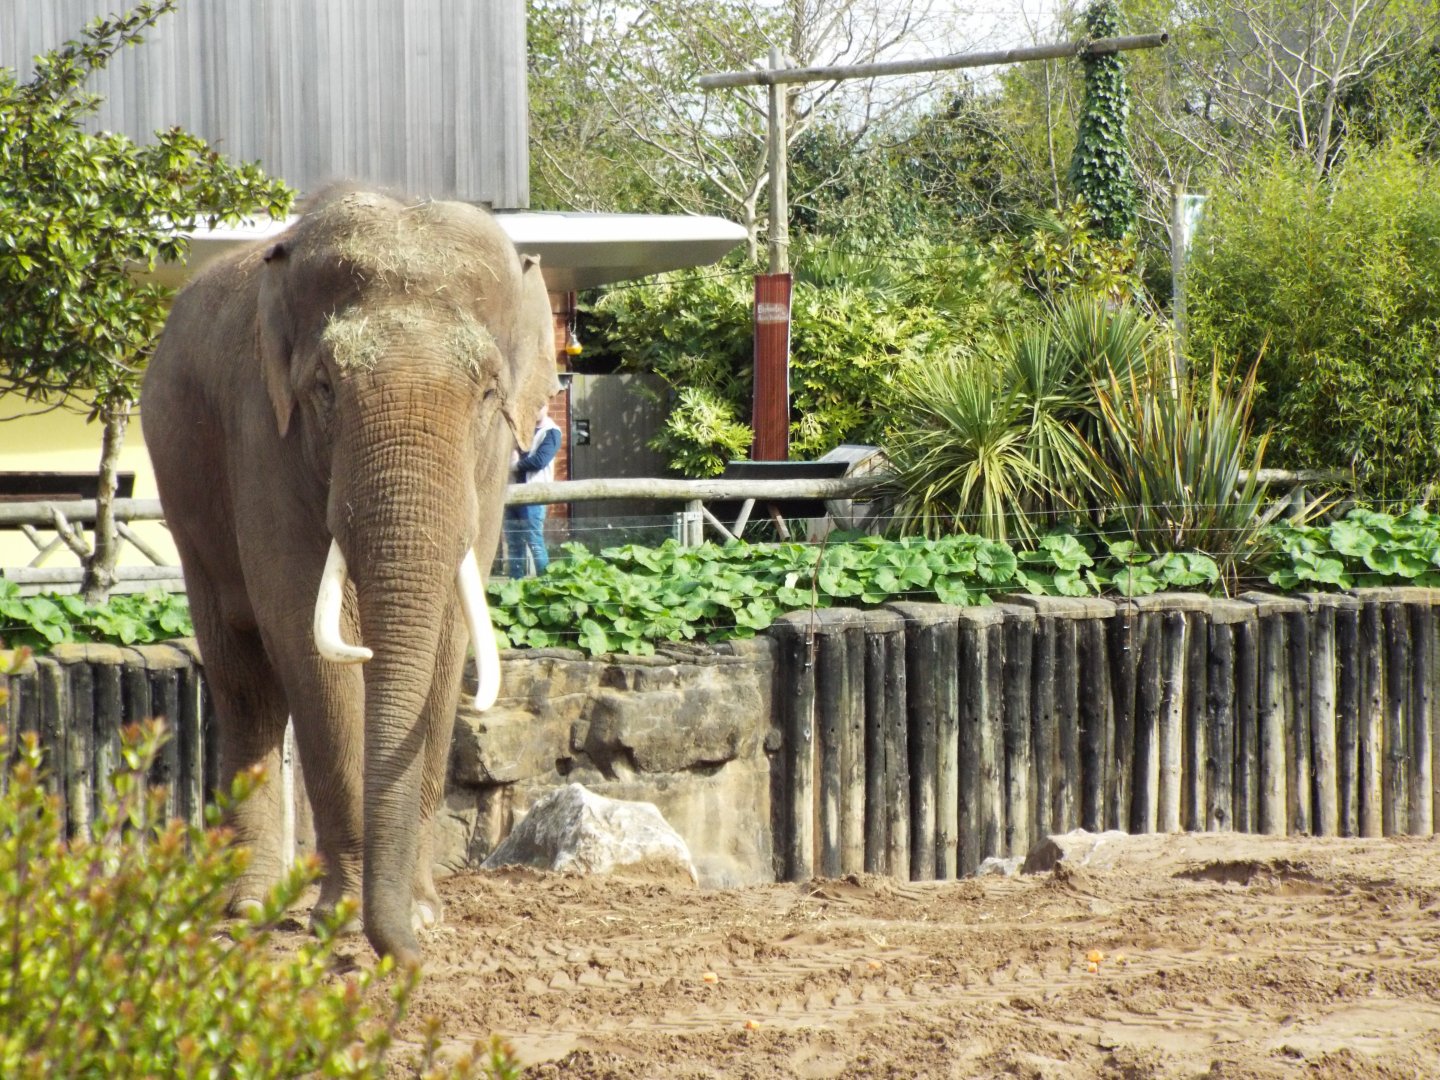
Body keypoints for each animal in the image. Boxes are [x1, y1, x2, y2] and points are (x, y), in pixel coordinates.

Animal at [141, 187, 559, 965]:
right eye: (326, 388)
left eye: (490, 393)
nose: (410, 957)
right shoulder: (262, 431)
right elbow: (310, 641)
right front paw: (339, 915)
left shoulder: (490, 476)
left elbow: (448, 641)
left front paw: (423, 915)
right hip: (186, 501)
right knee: (245, 679)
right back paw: (248, 907)